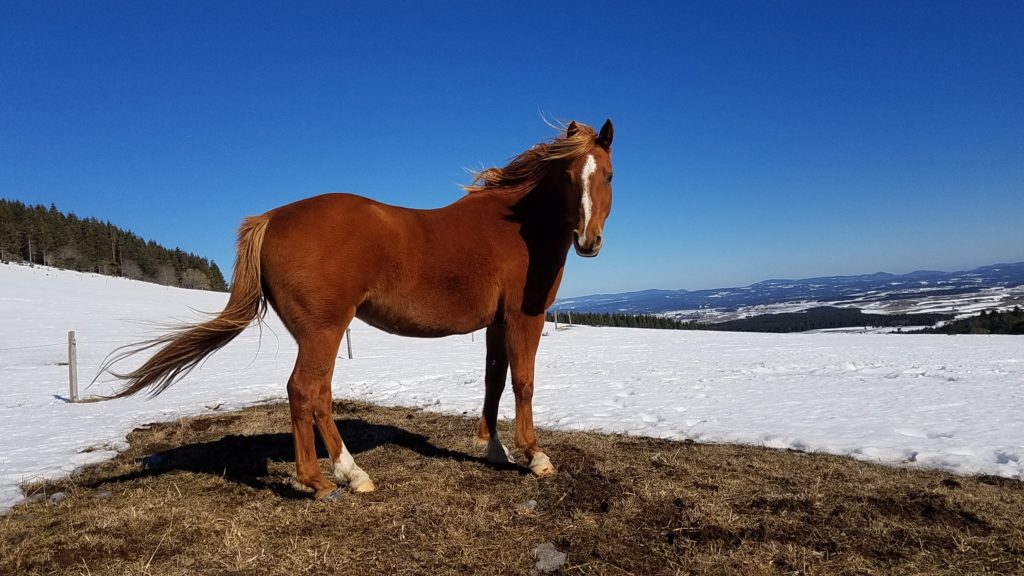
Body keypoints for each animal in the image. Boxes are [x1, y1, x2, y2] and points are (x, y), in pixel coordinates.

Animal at [108, 117, 610, 498]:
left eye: (606, 175)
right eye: (568, 177)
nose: (589, 241)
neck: (516, 227)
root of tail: (270, 219)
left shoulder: (496, 324)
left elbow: (494, 381)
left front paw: (493, 449)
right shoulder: (526, 318)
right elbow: (524, 383)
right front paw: (535, 456)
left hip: (321, 334)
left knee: (320, 396)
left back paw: (349, 473)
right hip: (324, 331)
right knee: (303, 391)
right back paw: (320, 481)